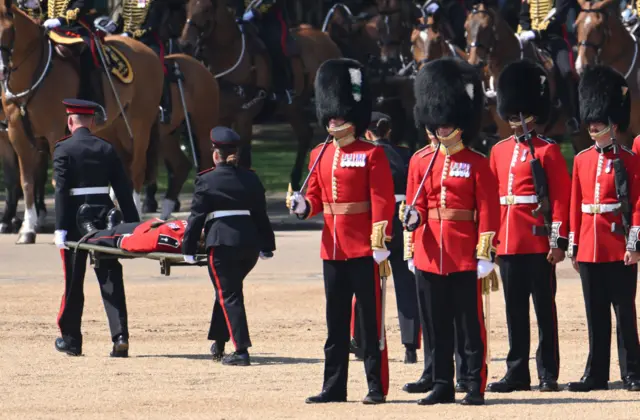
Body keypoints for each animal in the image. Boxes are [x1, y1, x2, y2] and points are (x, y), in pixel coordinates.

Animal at [0, 4, 162, 243]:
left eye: (8, 30)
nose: (2, 70)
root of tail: (148, 52)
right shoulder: (17, 134)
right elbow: (26, 181)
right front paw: (27, 230)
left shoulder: (53, 133)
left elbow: (56, 181)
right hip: (112, 129)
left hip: (139, 127)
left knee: (137, 170)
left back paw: (133, 220)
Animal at [180, 0, 342, 189]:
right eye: (187, 8)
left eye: (206, 9)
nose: (184, 44)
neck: (229, 54)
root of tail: (325, 36)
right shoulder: (221, 117)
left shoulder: (244, 117)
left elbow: (243, 159)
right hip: (291, 108)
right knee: (305, 134)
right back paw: (295, 181)